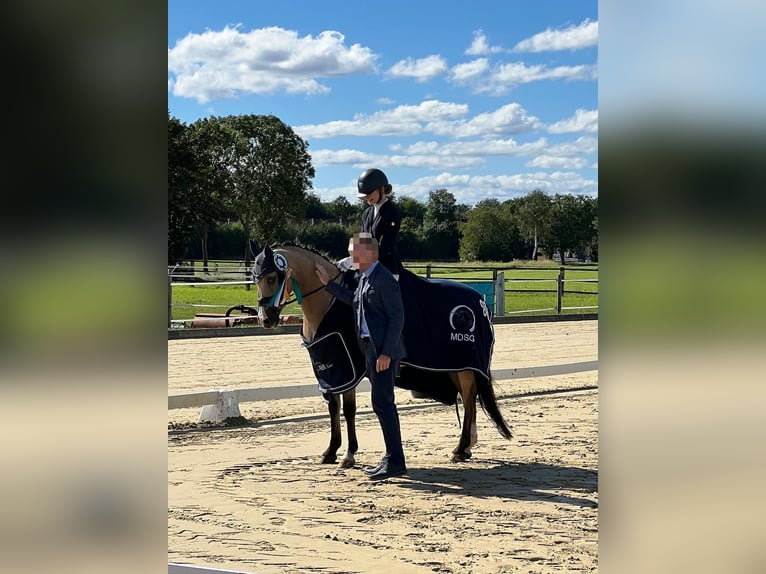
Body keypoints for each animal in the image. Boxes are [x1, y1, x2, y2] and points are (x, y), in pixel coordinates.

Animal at [254, 241, 516, 470]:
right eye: (255, 278)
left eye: (271, 278)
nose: (265, 319)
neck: (329, 301)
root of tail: (479, 300)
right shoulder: (331, 370)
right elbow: (334, 408)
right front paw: (330, 451)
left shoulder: (348, 369)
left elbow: (349, 410)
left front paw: (348, 454)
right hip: (454, 367)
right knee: (468, 398)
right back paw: (467, 446)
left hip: (466, 366)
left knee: (470, 400)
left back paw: (460, 449)